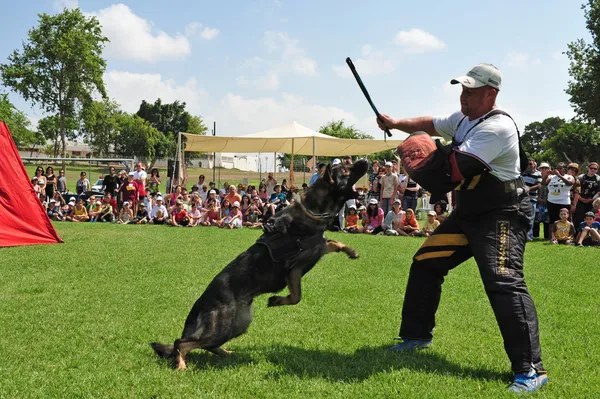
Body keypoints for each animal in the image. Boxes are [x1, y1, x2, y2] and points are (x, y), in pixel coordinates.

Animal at [150, 159, 368, 368]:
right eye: (346, 170)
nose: (365, 161)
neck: (313, 210)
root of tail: (200, 304)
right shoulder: (294, 269)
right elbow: (296, 297)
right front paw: (277, 300)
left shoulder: (318, 247)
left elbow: (335, 242)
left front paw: (351, 251)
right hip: (222, 325)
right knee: (181, 343)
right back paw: (181, 365)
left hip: (238, 324)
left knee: (206, 345)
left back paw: (227, 354)